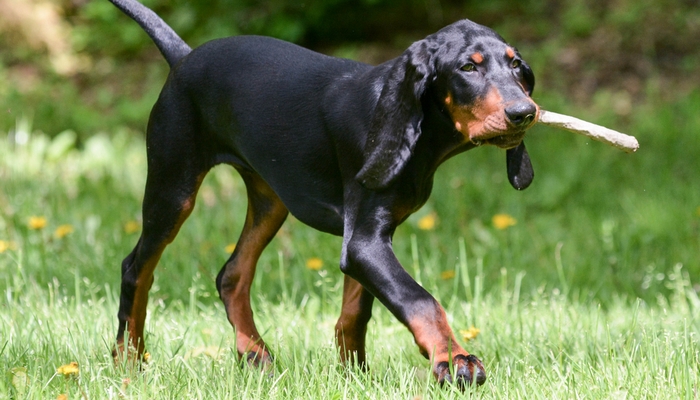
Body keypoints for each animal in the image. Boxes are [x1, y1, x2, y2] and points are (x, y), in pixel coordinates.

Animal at [109, 0, 540, 388]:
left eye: (516, 65)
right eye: (468, 67)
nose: (524, 113)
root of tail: (183, 57)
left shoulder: (367, 240)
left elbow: (355, 313)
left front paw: (356, 377)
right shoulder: (365, 242)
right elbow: (420, 300)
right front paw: (453, 360)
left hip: (270, 201)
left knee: (231, 275)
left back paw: (255, 355)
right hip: (173, 187)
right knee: (136, 269)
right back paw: (128, 363)